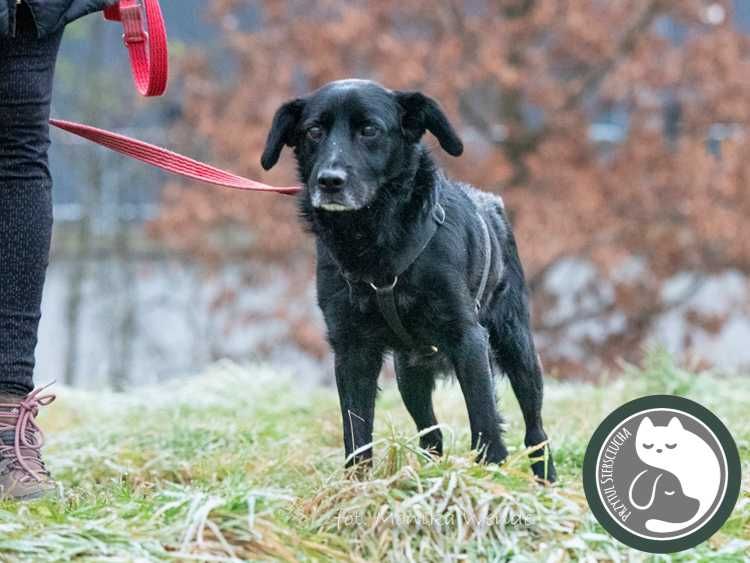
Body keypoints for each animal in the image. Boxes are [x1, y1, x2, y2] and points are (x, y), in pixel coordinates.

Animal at [262, 79, 556, 482]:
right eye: (314, 131)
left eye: (370, 129)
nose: (329, 181)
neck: (372, 241)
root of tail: (492, 204)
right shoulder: (351, 350)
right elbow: (355, 430)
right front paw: (357, 487)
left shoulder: (468, 338)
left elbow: (484, 420)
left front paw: (489, 478)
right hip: (409, 374)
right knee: (430, 433)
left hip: (517, 346)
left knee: (535, 428)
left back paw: (546, 481)